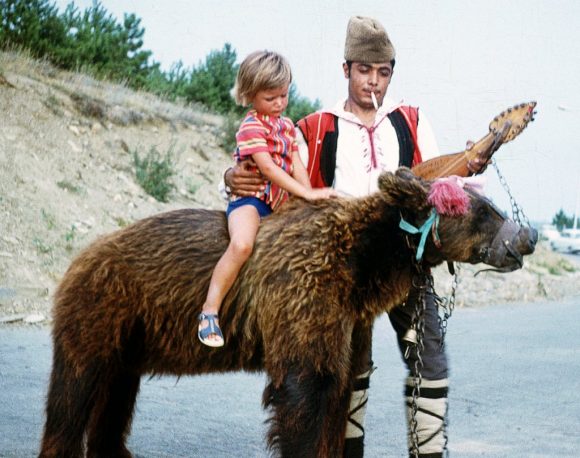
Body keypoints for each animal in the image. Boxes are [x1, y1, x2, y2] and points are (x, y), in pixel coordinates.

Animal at [37, 169, 536, 458]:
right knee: (74, 390)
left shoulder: (347, 318)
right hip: (103, 308)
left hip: (131, 335)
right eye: (487, 211)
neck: (364, 264)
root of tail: (84, 254)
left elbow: (340, 388)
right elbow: (306, 388)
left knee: (116, 395)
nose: (527, 235)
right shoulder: (305, 292)